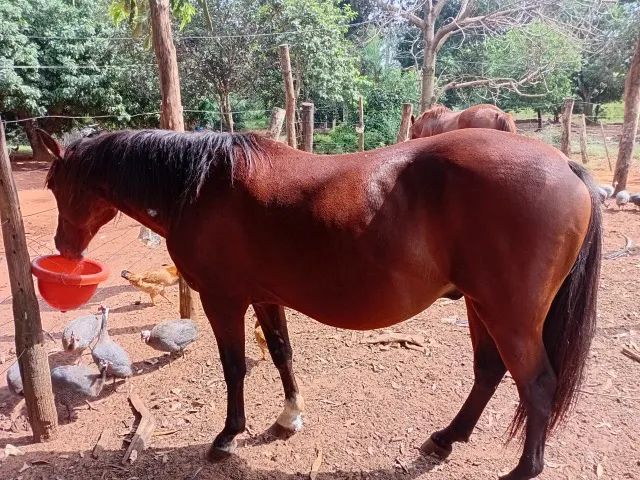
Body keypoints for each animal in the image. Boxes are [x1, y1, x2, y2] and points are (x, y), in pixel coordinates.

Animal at [38, 127, 601, 480]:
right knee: (488, 371)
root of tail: (566, 167)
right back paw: (446, 437)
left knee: (537, 385)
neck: (199, 186)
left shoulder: (224, 299)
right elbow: (281, 354)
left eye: (55, 183)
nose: (65, 247)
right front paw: (289, 418)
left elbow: (234, 366)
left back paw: (521, 469)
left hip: (509, 314)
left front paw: (227, 436)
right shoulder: (265, 297)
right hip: (480, 305)